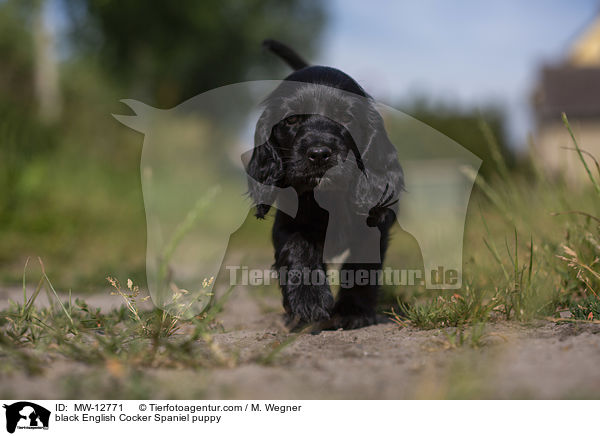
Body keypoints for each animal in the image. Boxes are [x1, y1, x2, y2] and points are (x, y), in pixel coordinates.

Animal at [246, 39, 406, 328]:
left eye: (347, 118)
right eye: (291, 119)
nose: (319, 154)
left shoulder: (374, 222)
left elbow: (361, 264)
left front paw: (352, 312)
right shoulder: (290, 221)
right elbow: (297, 247)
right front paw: (307, 301)